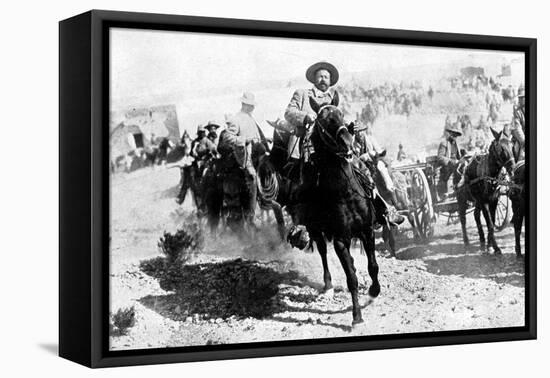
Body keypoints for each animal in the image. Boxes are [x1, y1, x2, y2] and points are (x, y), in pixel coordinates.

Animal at [300, 96, 382, 326]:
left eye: (341, 114)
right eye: (322, 121)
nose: (347, 142)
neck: (346, 193)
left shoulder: (367, 231)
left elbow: (373, 266)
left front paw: (374, 291)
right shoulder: (339, 241)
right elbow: (351, 278)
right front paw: (356, 317)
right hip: (316, 231)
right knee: (322, 252)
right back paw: (328, 286)